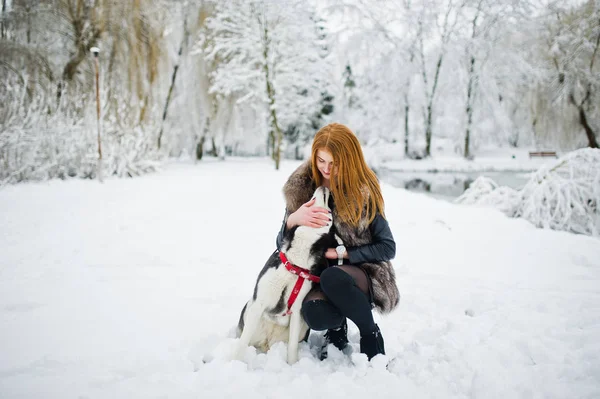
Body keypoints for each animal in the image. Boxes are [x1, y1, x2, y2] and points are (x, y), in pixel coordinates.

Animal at [234, 188, 338, 366]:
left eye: (330, 211)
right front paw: (235, 363)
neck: (295, 264)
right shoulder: (259, 302)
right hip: (249, 310)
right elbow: (242, 344)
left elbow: (292, 348)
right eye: (309, 200)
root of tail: (268, 343)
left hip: (302, 326)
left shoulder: (297, 311)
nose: (324, 188)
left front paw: (292, 365)